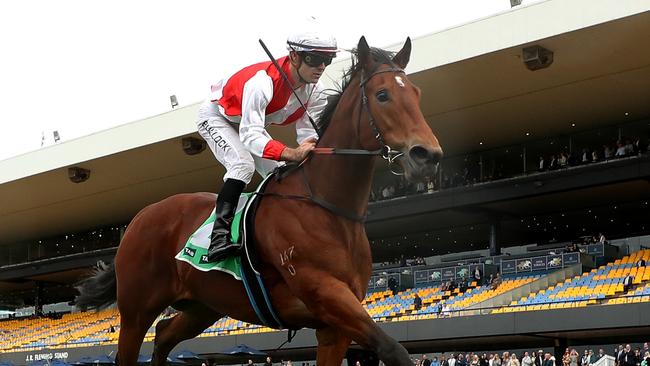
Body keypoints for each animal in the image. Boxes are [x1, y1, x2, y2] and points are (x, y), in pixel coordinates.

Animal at [76, 36, 440, 366]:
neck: (327, 207)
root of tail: (140, 218)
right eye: (383, 95)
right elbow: (393, 349)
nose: (428, 155)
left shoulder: (333, 328)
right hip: (136, 312)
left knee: (165, 334)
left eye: (417, 93)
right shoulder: (325, 295)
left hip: (204, 306)